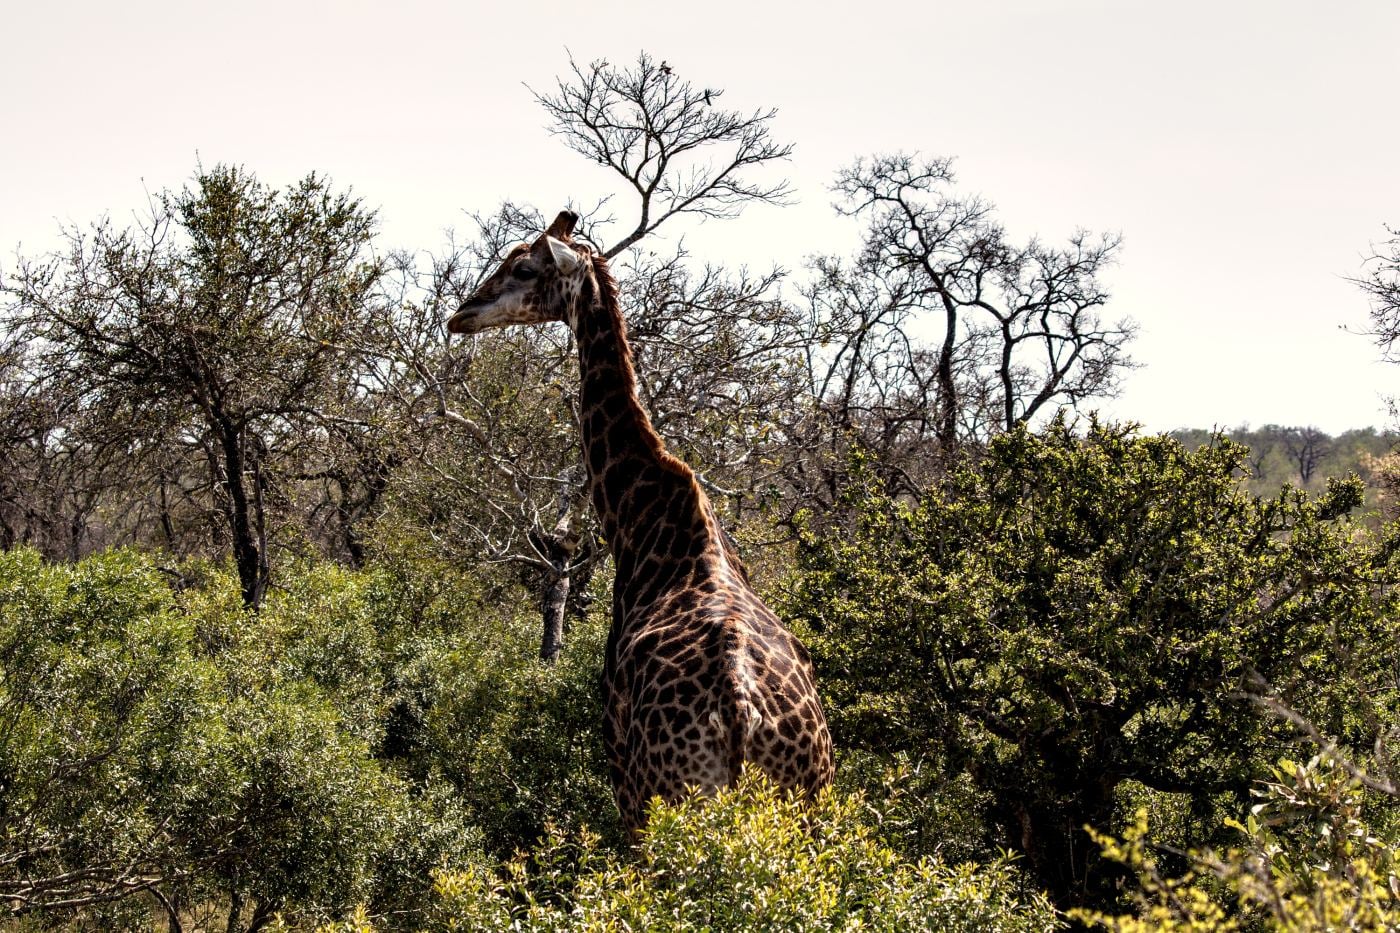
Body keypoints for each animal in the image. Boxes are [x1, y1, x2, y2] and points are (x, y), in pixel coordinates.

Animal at [447, 210, 834, 832]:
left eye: (523, 267)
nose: (460, 314)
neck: (640, 515)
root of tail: (741, 709)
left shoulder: (617, 763)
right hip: (810, 804)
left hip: (667, 794)